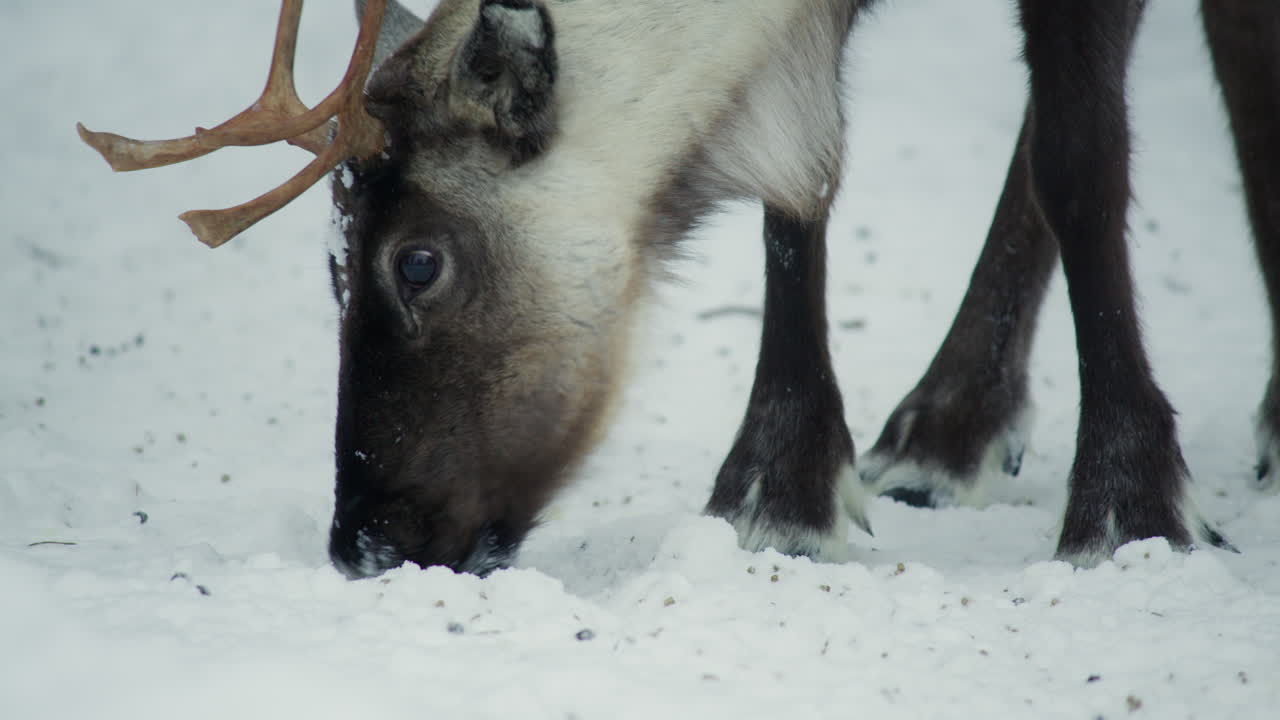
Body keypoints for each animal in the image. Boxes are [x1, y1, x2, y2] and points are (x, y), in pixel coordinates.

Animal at [78, 0, 1279, 579]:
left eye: (417, 260)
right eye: (330, 262)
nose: (362, 544)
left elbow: (1081, 155)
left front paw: (1129, 504)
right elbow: (804, 181)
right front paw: (781, 489)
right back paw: (947, 429)